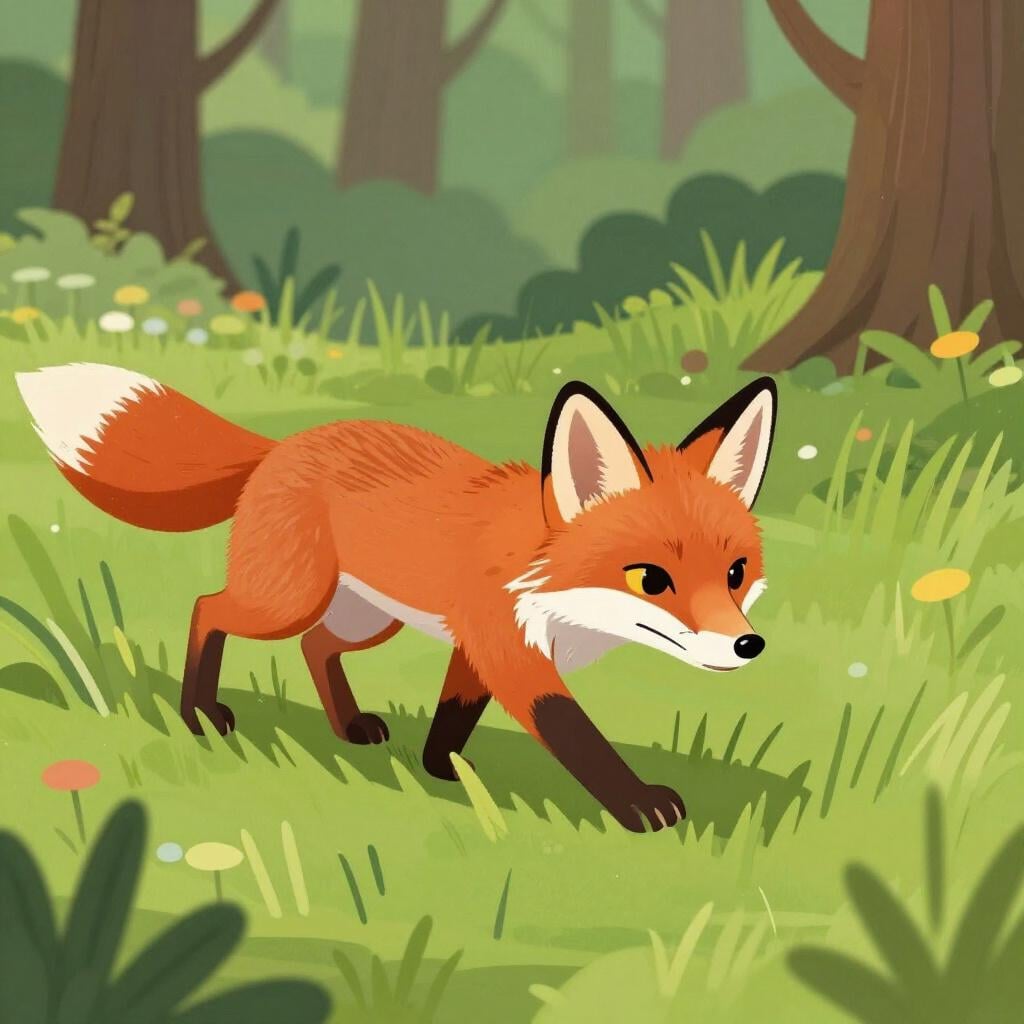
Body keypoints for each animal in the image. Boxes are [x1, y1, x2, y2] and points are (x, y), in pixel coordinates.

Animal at [16, 363, 776, 832]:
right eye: (651, 579)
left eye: (736, 573)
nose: (749, 644)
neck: (553, 586)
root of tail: (283, 444)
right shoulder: (513, 653)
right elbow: (578, 738)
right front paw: (640, 804)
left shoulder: (477, 646)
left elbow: (453, 714)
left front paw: (442, 768)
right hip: (288, 598)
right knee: (209, 608)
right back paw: (201, 713)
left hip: (364, 618)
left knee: (315, 646)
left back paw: (349, 726)